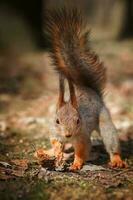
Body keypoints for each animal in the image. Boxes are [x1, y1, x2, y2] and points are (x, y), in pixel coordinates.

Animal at [44, 7, 127, 170]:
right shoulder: (54, 132)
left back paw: (116, 159)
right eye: (57, 121)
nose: (68, 135)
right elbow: (55, 142)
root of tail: (90, 90)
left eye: (78, 120)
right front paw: (57, 151)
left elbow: (82, 151)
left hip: (104, 119)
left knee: (110, 139)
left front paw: (76, 164)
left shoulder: (82, 137)